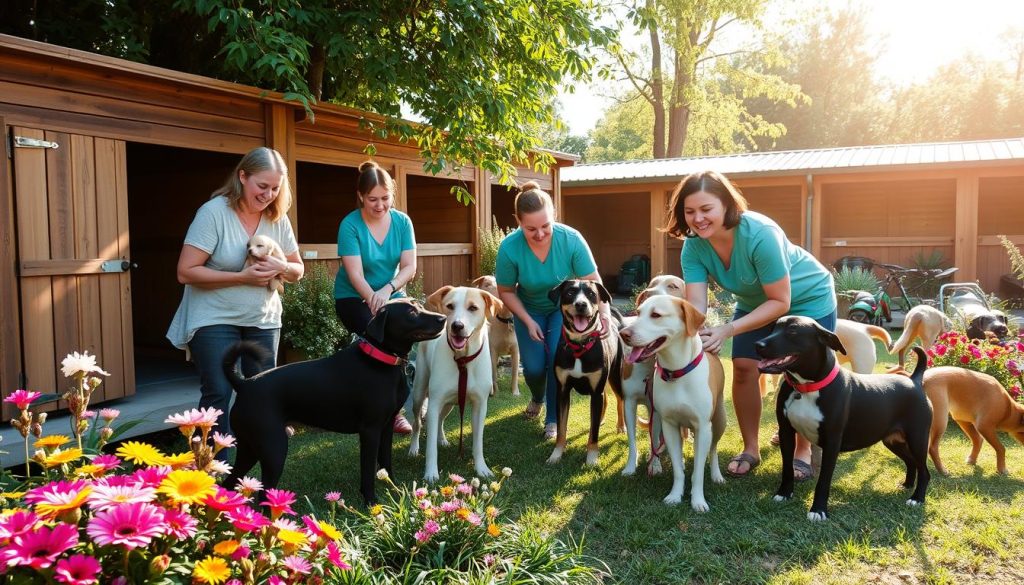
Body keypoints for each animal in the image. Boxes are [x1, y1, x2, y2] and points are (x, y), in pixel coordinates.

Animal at [220, 299, 444, 506]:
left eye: (420, 306)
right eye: (411, 313)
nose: (442, 318)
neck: (380, 361)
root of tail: (244, 384)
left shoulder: (387, 426)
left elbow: (386, 461)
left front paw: (394, 488)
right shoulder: (370, 431)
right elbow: (368, 471)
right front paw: (371, 502)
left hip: (250, 449)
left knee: (228, 483)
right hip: (274, 449)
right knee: (262, 495)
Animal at [407, 286, 503, 483]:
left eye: (473, 308)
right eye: (450, 306)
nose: (457, 326)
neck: (462, 360)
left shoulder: (480, 405)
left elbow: (478, 442)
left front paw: (481, 468)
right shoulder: (435, 402)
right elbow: (430, 448)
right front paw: (431, 473)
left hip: (450, 403)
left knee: (440, 420)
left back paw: (442, 439)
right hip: (420, 393)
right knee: (418, 423)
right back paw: (414, 449)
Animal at [544, 278, 622, 467]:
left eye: (591, 294)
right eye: (570, 292)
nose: (581, 304)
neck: (579, 346)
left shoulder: (596, 391)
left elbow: (593, 434)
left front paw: (592, 458)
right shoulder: (563, 391)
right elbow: (561, 429)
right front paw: (556, 454)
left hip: (616, 377)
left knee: (620, 400)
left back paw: (621, 426)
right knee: (606, 400)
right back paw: (600, 419)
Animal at [614, 295, 729, 510]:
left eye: (656, 315)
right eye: (638, 312)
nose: (623, 333)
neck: (677, 372)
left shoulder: (702, 428)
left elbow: (698, 472)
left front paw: (698, 500)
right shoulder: (669, 425)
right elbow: (677, 469)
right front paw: (675, 495)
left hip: (719, 421)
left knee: (713, 449)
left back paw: (717, 475)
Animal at [757, 317, 933, 524]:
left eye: (792, 331)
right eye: (773, 328)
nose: (758, 345)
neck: (807, 388)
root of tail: (914, 380)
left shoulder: (831, 443)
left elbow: (823, 480)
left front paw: (818, 510)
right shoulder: (786, 433)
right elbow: (787, 469)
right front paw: (784, 493)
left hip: (917, 439)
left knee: (924, 471)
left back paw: (917, 498)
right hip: (893, 440)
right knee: (911, 462)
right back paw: (907, 485)